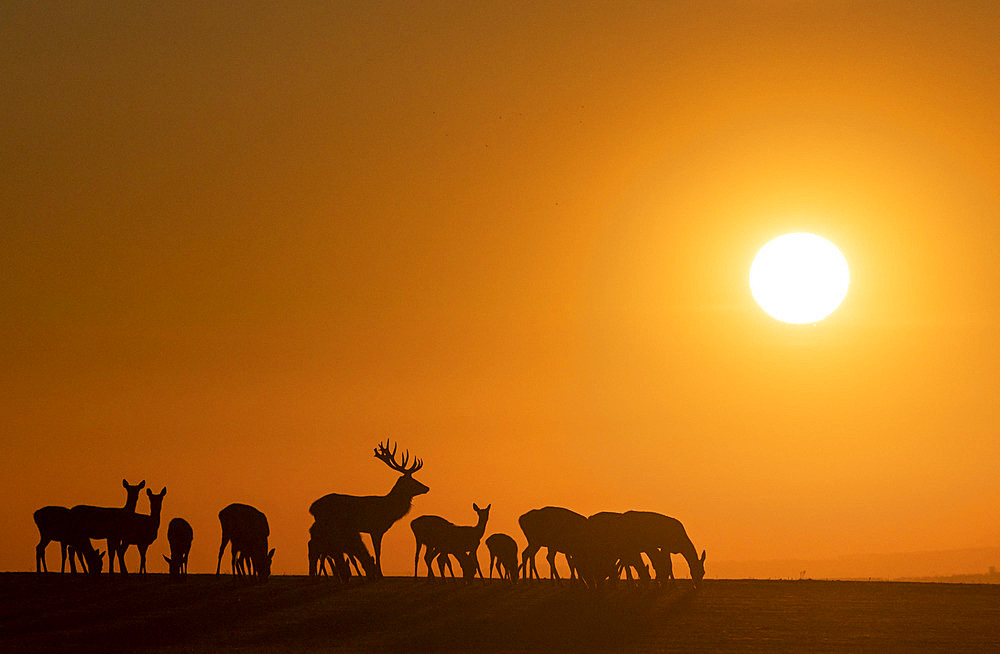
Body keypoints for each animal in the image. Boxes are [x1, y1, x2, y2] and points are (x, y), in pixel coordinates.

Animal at [308, 440, 426, 580]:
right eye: (412, 480)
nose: (427, 487)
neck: (388, 509)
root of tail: (313, 507)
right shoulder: (375, 529)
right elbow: (377, 551)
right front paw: (380, 574)